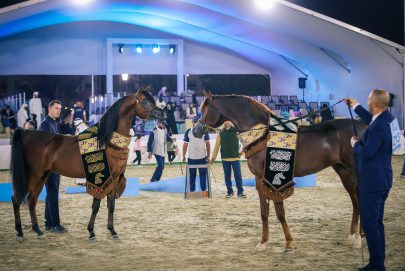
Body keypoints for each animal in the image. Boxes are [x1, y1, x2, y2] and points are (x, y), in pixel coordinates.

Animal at [9, 90, 164, 242]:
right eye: (144, 101)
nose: (162, 113)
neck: (108, 141)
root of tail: (27, 133)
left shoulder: (113, 179)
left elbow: (111, 205)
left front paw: (112, 231)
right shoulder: (100, 180)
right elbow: (96, 206)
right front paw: (91, 232)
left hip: (42, 176)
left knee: (32, 200)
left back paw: (37, 230)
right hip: (32, 176)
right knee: (16, 199)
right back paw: (19, 233)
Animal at [193, 92, 366, 253]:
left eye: (204, 109)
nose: (195, 130)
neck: (261, 134)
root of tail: (363, 126)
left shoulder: (273, 180)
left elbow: (280, 212)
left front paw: (289, 243)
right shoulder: (260, 180)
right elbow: (264, 212)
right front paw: (263, 242)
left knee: (360, 200)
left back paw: (359, 239)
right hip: (343, 172)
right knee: (355, 202)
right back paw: (353, 236)